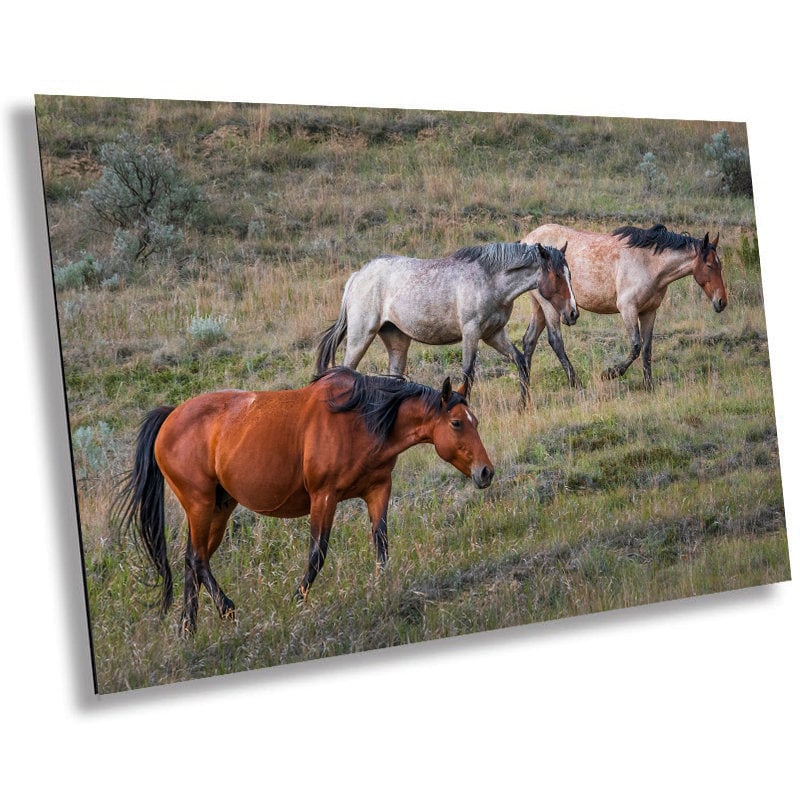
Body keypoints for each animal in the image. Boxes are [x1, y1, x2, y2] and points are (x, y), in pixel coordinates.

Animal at [114, 367, 494, 635]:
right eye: (457, 423)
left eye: (474, 420)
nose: (486, 472)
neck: (360, 419)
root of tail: (170, 417)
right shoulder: (324, 497)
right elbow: (317, 554)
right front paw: (296, 600)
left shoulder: (378, 489)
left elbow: (381, 544)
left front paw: (384, 588)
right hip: (200, 503)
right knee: (197, 559)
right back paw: (226, 609)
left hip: (220, 507)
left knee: (194, 560)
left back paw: (188, 628)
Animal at [316, 242, 578, 406]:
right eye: (556, 275)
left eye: (569, 274)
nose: (572, 313)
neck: (489, 280)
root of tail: (357, 276)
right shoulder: (471, 333)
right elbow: (468, 374)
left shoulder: (493, 334)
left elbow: (521, 362)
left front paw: (524, 406)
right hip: (361, 336)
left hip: (397, 341)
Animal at [519, 223, 728, 389]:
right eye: (709, 266)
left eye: (720, 266)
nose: (722, 302)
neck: (649, 264)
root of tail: (526, 240)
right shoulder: (628, 308)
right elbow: (636, 346)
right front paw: (610, 373)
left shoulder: (649, 311)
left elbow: (647, 349)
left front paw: (649, 385)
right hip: (550, 306)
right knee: (555, 340)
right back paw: (575, 382)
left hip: (538, 306)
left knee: (529, 340)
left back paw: (526, 382)